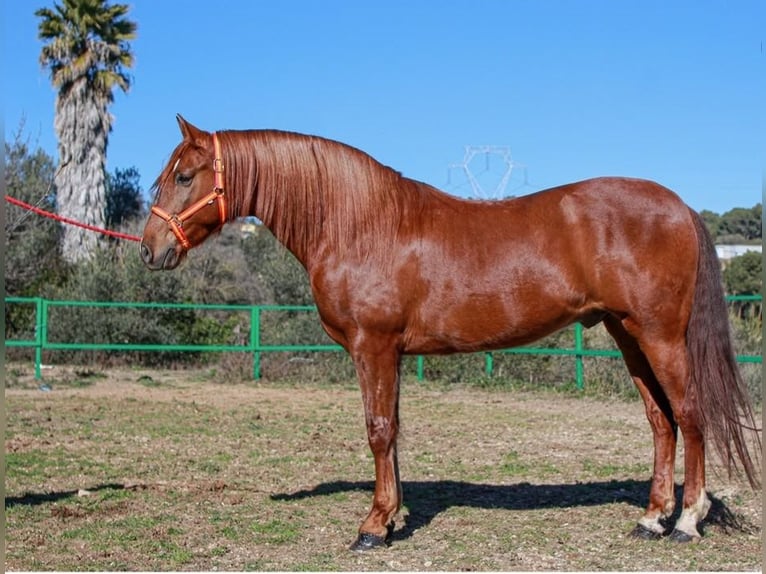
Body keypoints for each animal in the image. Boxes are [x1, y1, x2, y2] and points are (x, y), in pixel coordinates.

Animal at [140, 115, 761, 550]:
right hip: (627, 335)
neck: (360, 222)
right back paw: (651, 519)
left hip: (659, 336)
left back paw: (686, 521)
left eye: (185, 176)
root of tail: (679, 206)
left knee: (690, 414)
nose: (149, 250)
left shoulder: (374, 347)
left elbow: (379, 431)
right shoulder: (390, 353)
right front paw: (391, 518)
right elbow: (393, 433)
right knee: (660, 421)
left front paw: (372, 527)